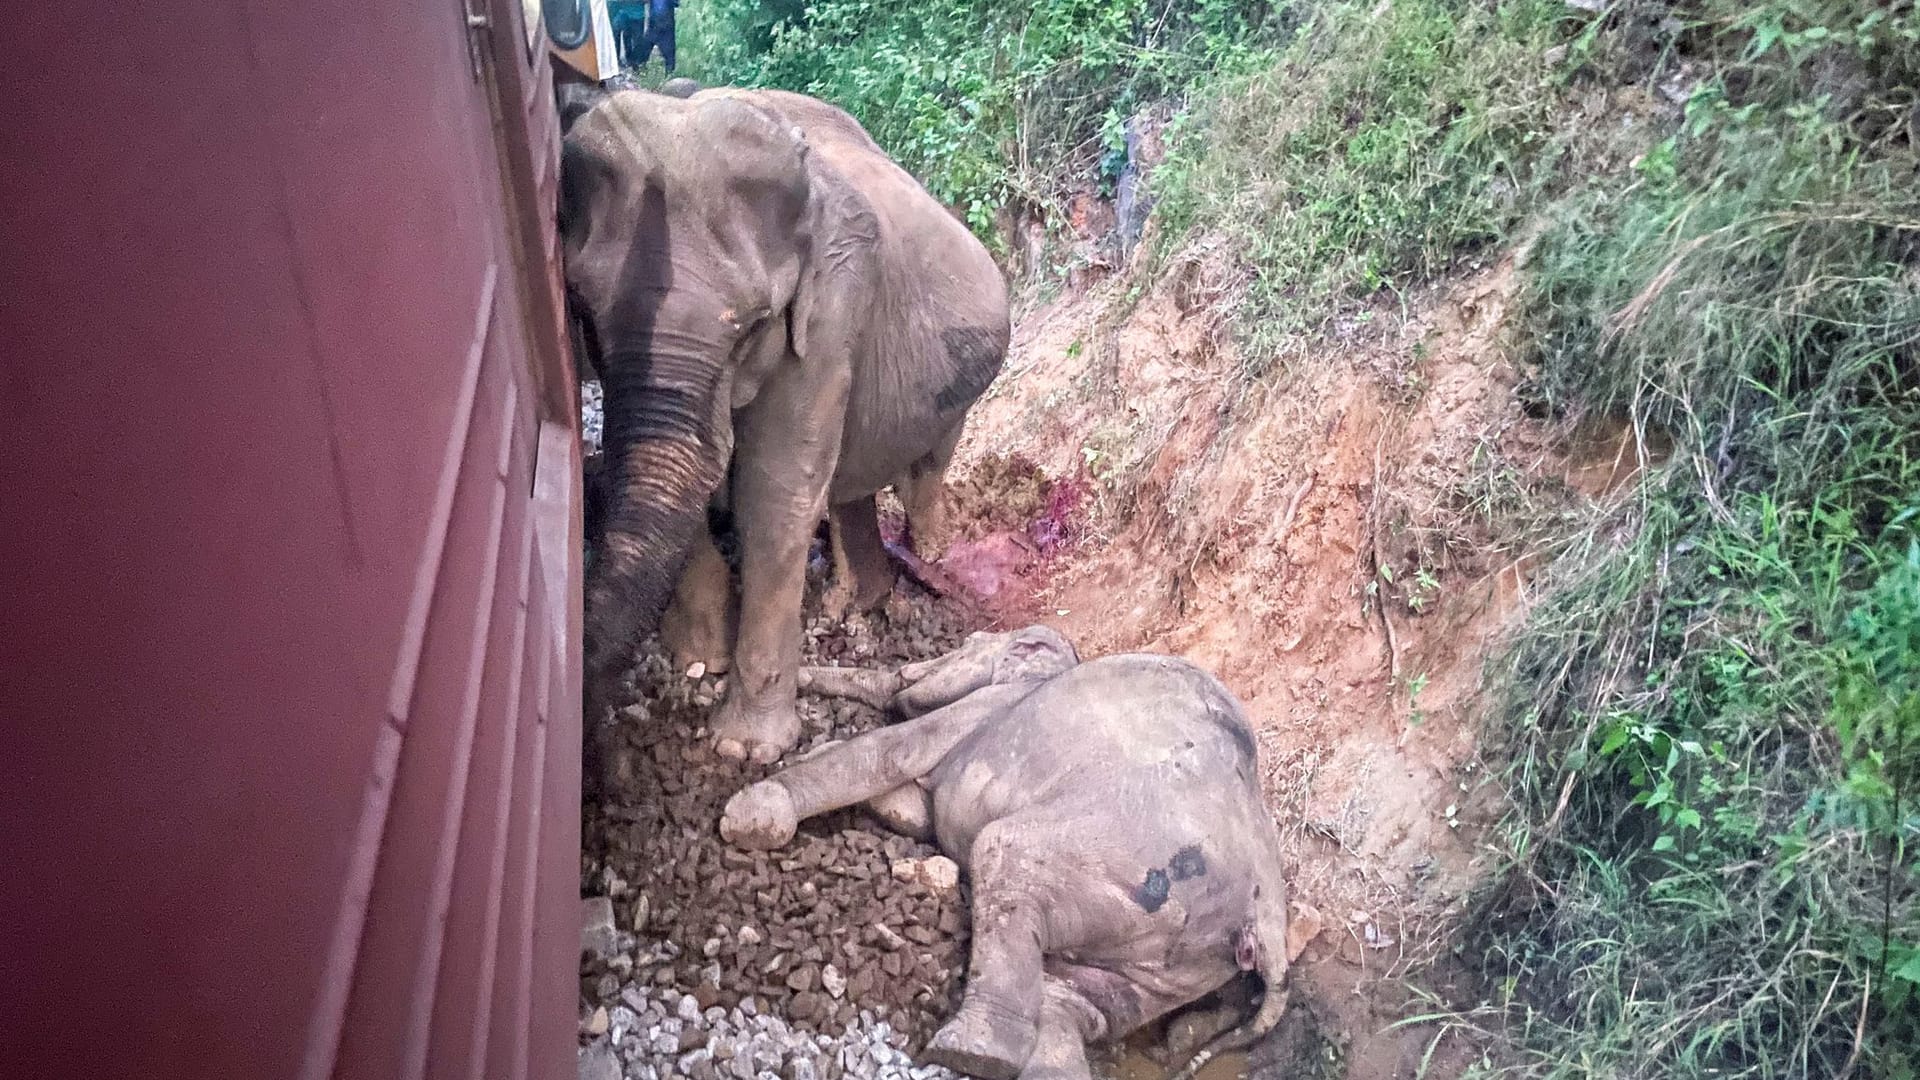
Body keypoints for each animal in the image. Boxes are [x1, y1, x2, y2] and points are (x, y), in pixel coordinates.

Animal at [560, 88, 1013, 760]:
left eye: (752, 326)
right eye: (583, 312)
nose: (595, 750)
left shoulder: (834, 303)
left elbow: (775, 490)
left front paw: (744, 749)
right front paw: (699, 659)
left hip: (959, 378)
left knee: (921, 469)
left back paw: (928, 552)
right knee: (851, 481)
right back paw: (853, 602)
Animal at [721, 622, 1290, 1076]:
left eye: (964, 644)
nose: (798, 675)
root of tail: (1267, 922)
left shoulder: (985, 710)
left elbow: (893, 752)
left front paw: (749, 816)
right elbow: (914, 809)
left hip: (1126, 875)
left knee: (1005, 856)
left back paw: (968, 1054)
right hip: (1170, 962)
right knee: (1071, 1004)